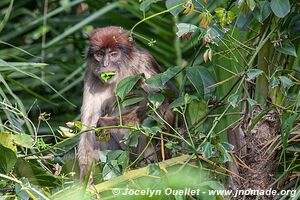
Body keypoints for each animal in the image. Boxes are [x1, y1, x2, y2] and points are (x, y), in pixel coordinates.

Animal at [78, 25, 175, 180]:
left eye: (113, 54)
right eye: (99, 54)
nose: (105, 64)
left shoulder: (144, 62)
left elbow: (163, 102)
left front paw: (107, 122)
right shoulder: (91, 75)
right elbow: (90, 122)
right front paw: (85, 179)